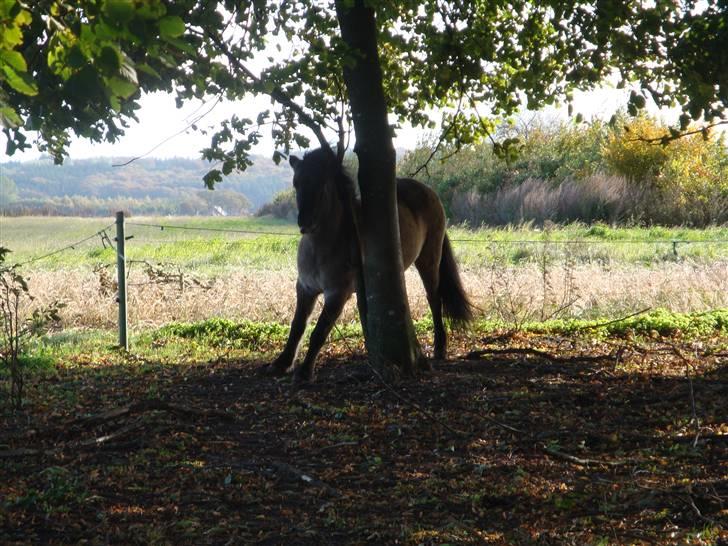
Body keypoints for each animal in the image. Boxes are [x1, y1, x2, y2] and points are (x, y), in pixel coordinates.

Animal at [262, 147, 472, 380]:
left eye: (323, 183)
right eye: (296, 183)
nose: (305, 223)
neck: (324, 245)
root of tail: (429, 192)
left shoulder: (337, 294)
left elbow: (319, 331)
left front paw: (305, 371)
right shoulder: (305, 288)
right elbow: (297, 326)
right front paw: (281, 363)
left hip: (428, 260)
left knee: (434, 300)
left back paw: (439, 347)